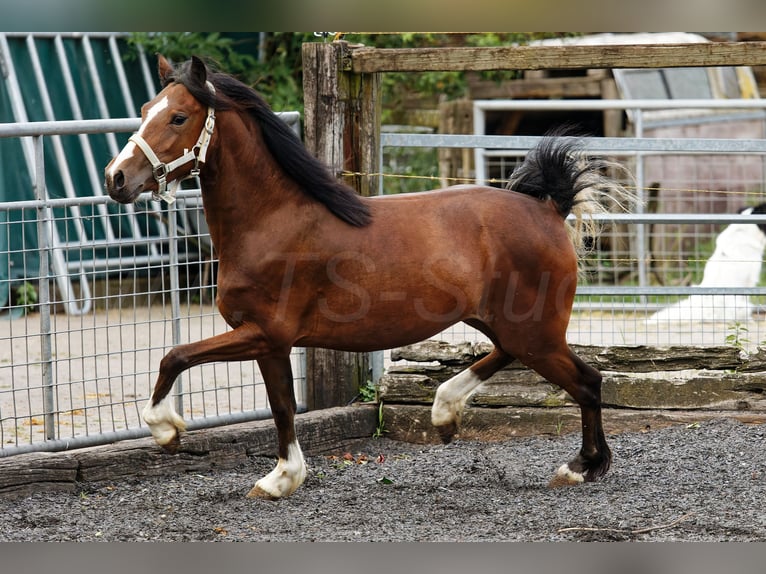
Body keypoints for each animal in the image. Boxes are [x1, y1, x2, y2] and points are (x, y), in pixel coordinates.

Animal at [106, 56, 636, 502]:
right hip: (507, 325)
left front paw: (168, 431)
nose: (116, 178)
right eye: (146, 110)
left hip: (536, 333)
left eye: (178, 117)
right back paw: (445, 413)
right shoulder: (270, 343)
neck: (272, 220)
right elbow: (281, 407)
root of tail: (549, 209)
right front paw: (282, 478)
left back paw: (579, 467)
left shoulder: (263, 333)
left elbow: (177, 356)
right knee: (508, 356)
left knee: (588, 382)